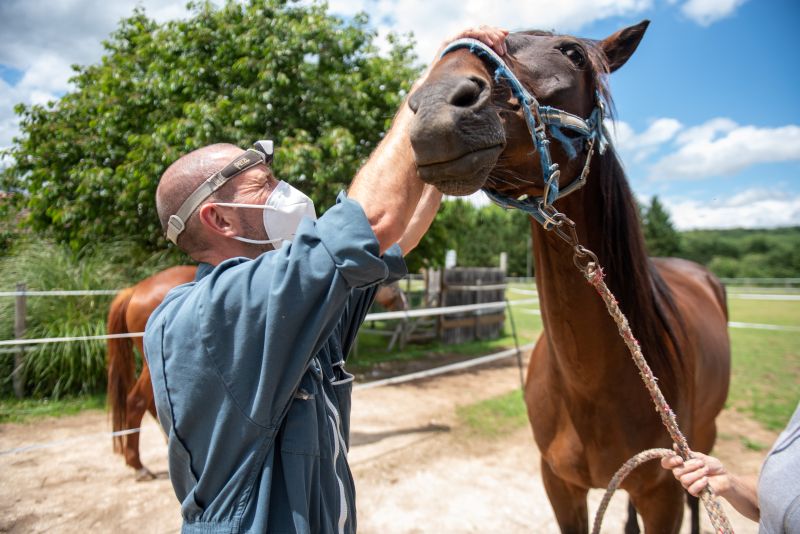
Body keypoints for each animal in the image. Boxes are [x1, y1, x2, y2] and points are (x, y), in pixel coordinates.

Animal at [407, 21, 730, 533]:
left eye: (574, 54)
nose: (437, 103)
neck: (589, 390)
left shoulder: (665, 493)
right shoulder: (559, 485)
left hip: (704, 438)